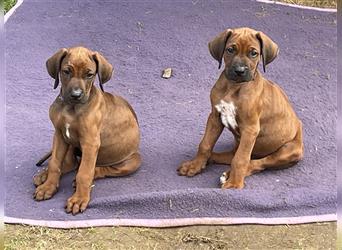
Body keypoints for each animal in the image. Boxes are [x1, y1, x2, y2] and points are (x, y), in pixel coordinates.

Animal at [33, 46, 140, 213]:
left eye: (89, 75)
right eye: (66, 71)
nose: (76, 95)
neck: (71, 107)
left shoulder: (90, 143)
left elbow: (84, 173)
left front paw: (79, 199)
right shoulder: (59, 135)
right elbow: (55, 163)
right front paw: (48, 187)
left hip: (133, 161)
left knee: (100, 169)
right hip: (70, 145)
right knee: (71, 163)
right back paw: (43, 176)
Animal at [178, 27, 304, 188]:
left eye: (254, 53)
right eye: (230, 49)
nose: (239, 71)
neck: (233, 87)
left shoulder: (250, 129)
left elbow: (241, 159)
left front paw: (234, 184)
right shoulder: (215, 117)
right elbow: (205, 144)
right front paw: (195, 165)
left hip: (288, 150)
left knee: (257, 162)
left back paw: (230, 175)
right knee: (232, 155)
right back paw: (211, 160)